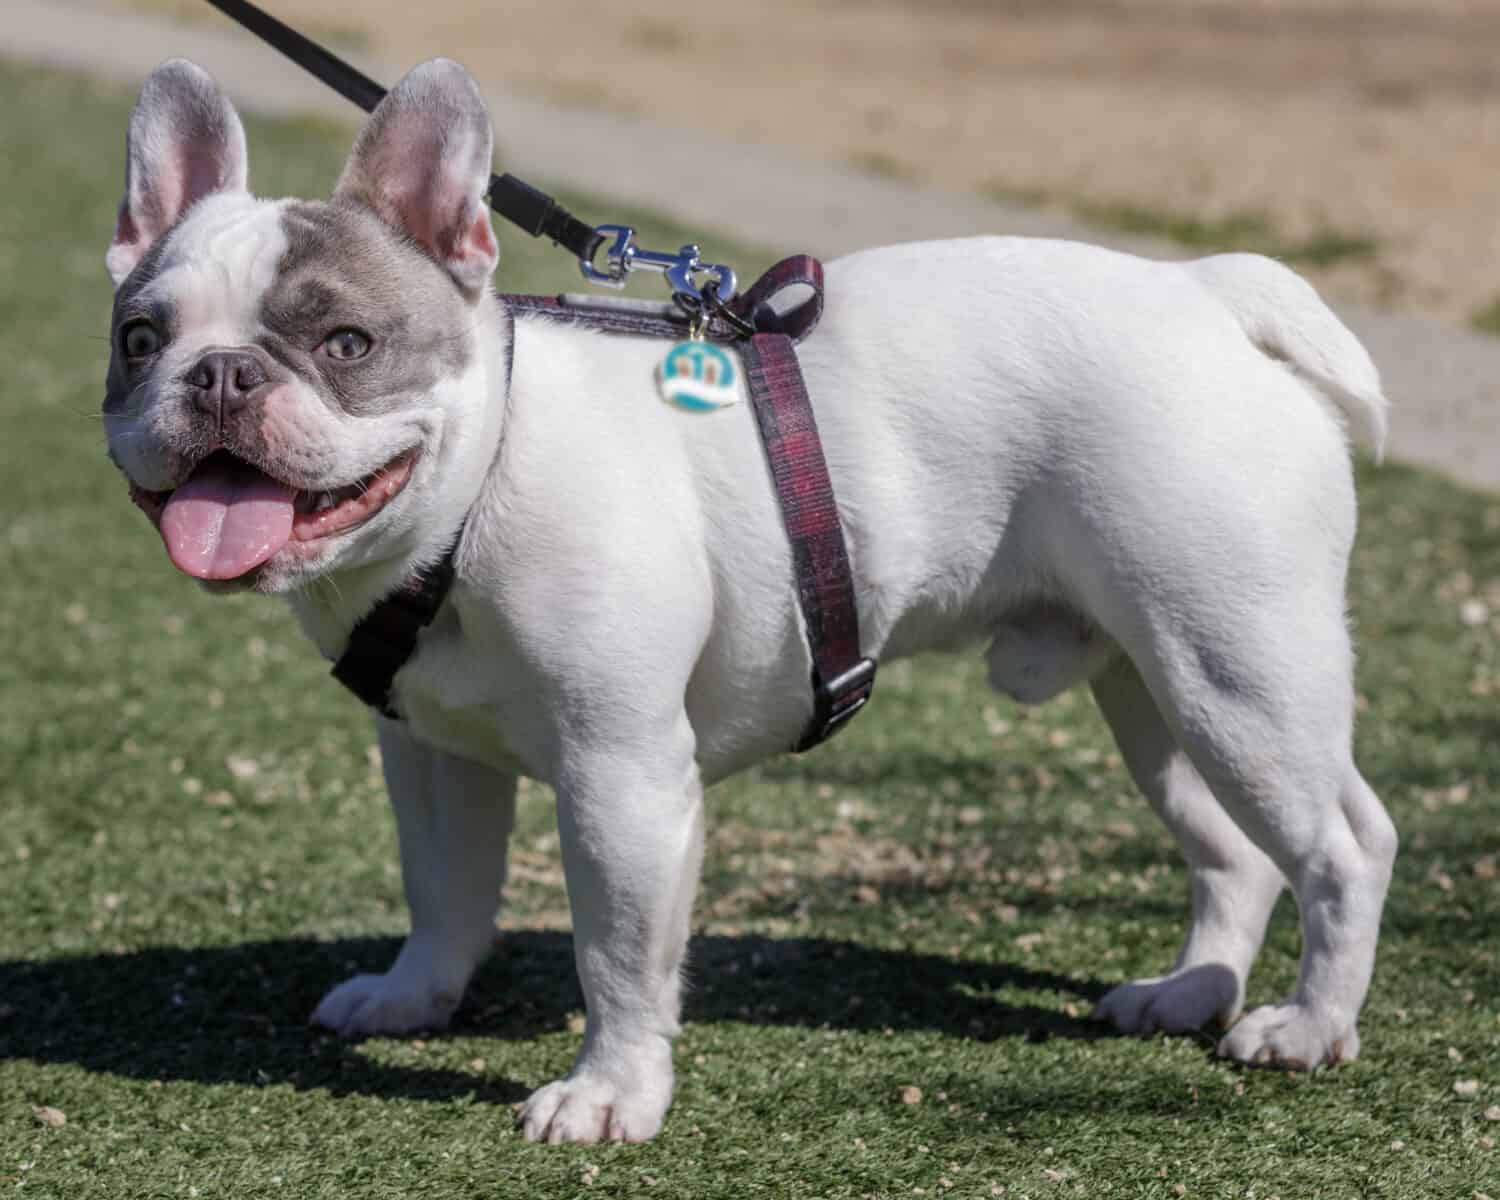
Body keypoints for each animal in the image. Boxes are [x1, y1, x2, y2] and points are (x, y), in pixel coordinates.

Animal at [102, 56, 1392, 1146]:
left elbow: (618, 954)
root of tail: (1210, 296)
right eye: (140, 339)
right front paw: (417, 995)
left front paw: (610, 1094)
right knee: (1233, 851)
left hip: (1236, 672)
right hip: (1156, 685)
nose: (220, 376)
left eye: (347, 345)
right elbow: (445, 886)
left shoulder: (623, 778)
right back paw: (1191, 993)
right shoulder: (430, 755)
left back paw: (1308, 1026)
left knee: (1344, 844)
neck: (474, 495)